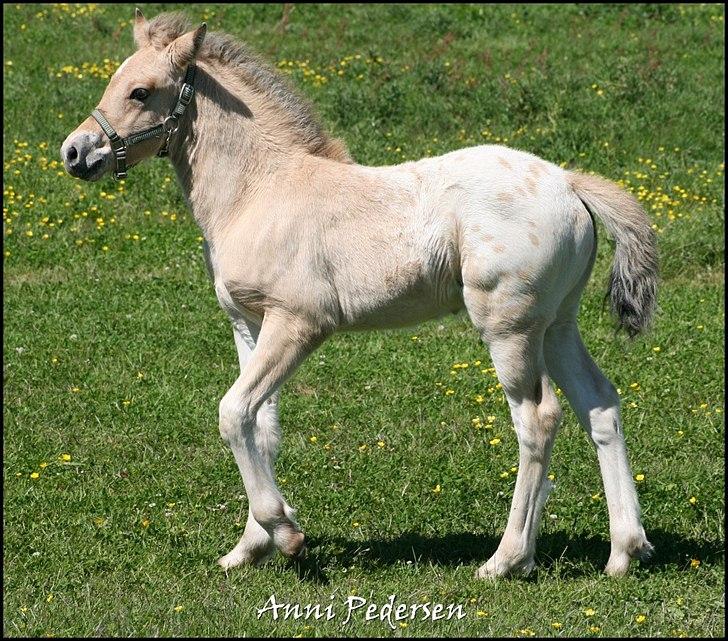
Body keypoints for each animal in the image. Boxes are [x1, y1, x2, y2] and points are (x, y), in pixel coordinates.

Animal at [59, 12, 656, 576]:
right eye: (114, 81)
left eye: (141, 92)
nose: (74, 152)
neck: (259, 190)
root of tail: (569, 183)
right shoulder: (248, 324)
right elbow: (261, 425)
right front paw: (250, 547)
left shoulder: (298, 323)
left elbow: (233, 412)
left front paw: (285, 533)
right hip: (557, 325)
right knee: (599, 403)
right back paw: (624, 552)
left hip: (510, 328)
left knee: (538, 420)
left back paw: (507, 560)